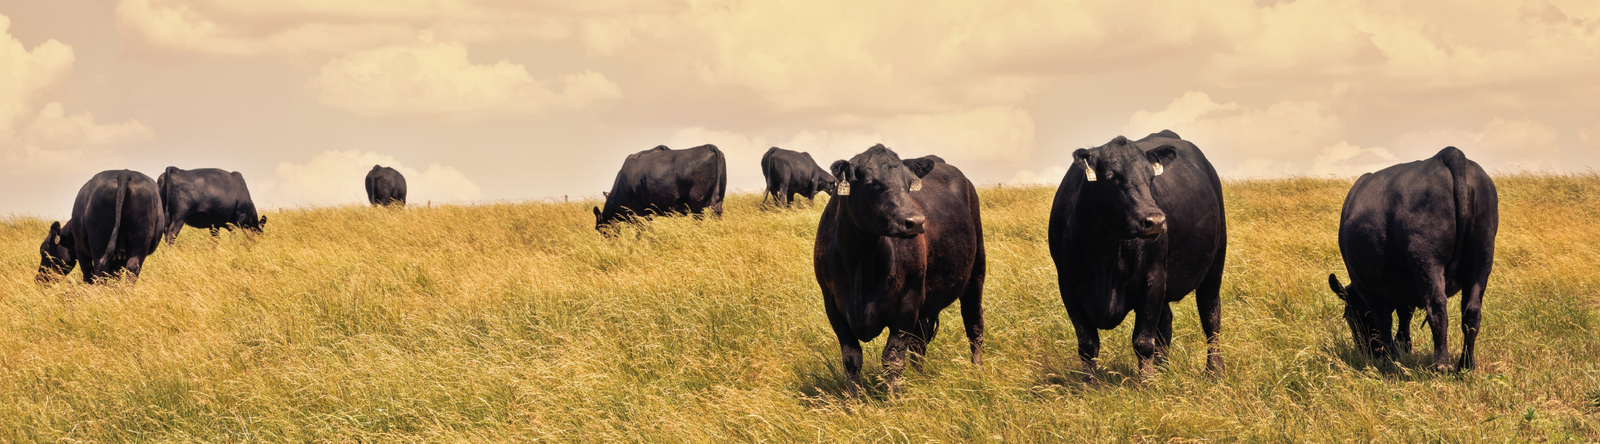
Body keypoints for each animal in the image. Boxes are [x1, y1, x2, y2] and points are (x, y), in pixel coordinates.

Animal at [36, 170, 166, 284]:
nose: (38, 279)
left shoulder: (80, 250)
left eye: (43, 251)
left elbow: (88, 274)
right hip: (141, 240)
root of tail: (125, 173)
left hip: (99, 242)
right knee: (132, 268)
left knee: (100, 267)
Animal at [593, 144, 727, 233]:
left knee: (699, 220)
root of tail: (707, 146)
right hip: (718, 200)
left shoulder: (636, 214)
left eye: (600, 229)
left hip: (696, 204)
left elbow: (641, 232)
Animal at [814, 144, 985, 397]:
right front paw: (853, 400)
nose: (915, 221)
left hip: (976, 272)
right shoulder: (832, 303)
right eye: (871, 183)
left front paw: (895, 398)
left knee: (974, 326)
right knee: (919, 345)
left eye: (908, 184)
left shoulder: (908, 300)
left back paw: (977, 372)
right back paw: (920, 379)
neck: (860, 262)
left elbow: (893, 357)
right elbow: (851, 358)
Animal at [1048, 130, 1227, 383]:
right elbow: (1087, 343)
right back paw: (1163, 369)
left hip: (1214, 264)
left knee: (1211, 317)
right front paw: (1089, 385)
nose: (1155, 221)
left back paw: (1214, 372)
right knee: (1167, 321)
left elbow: (1143, 341)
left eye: (1150, 177)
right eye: (1111, 177)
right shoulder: (1067, 284)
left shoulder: (1152, 278)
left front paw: (1147, 384)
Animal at [1327, 146, 1498, 372]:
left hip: (1427, 258)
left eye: (1349, 317)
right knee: (1472, 311)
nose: (1369, 352)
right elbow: (1404, 313)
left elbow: (1384, 319)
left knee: (1437, 306)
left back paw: (1442, 365)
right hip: (1482, 258)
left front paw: (1390, 358)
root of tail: (1448, 153)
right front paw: (1403, 347)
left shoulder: (1366, 286)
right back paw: (1466, 365)